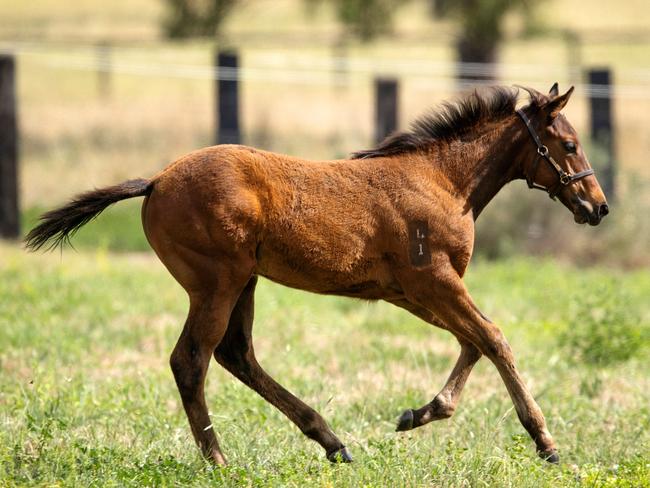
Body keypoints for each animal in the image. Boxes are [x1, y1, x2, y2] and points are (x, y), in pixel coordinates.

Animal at [26, 84, 608, 466]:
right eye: (569, 145)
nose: (598, 207)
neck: (443, 180)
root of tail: (155, 181)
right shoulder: (433, 280)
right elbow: (493, 337)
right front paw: (546, 441)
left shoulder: (407, 291)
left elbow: (473, 340)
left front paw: (418, 414)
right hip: (216, 282)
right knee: (192, 360)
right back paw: (220, 461)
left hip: (244, 281)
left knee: (235, 354)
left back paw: (330, 441)